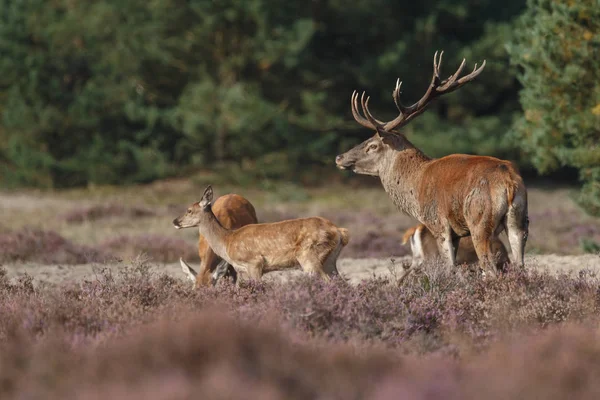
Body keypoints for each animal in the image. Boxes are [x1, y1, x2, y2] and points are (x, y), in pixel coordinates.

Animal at [171, 187, 350, 282]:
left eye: (189, 210)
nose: (175, 221)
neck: (227, 240)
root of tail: (339, 231)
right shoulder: (241, 269)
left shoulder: (254, 262)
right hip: (330, 260)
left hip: (309, 256)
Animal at [336, 51, 528, 280]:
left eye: (372, 146)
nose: (339, 157)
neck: (415, 187)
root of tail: (509, 182)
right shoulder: (456, 233)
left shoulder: (438, 223)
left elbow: (449, 267)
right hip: (519, 219)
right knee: (520, 264)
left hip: (479, 220)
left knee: (489, 267)